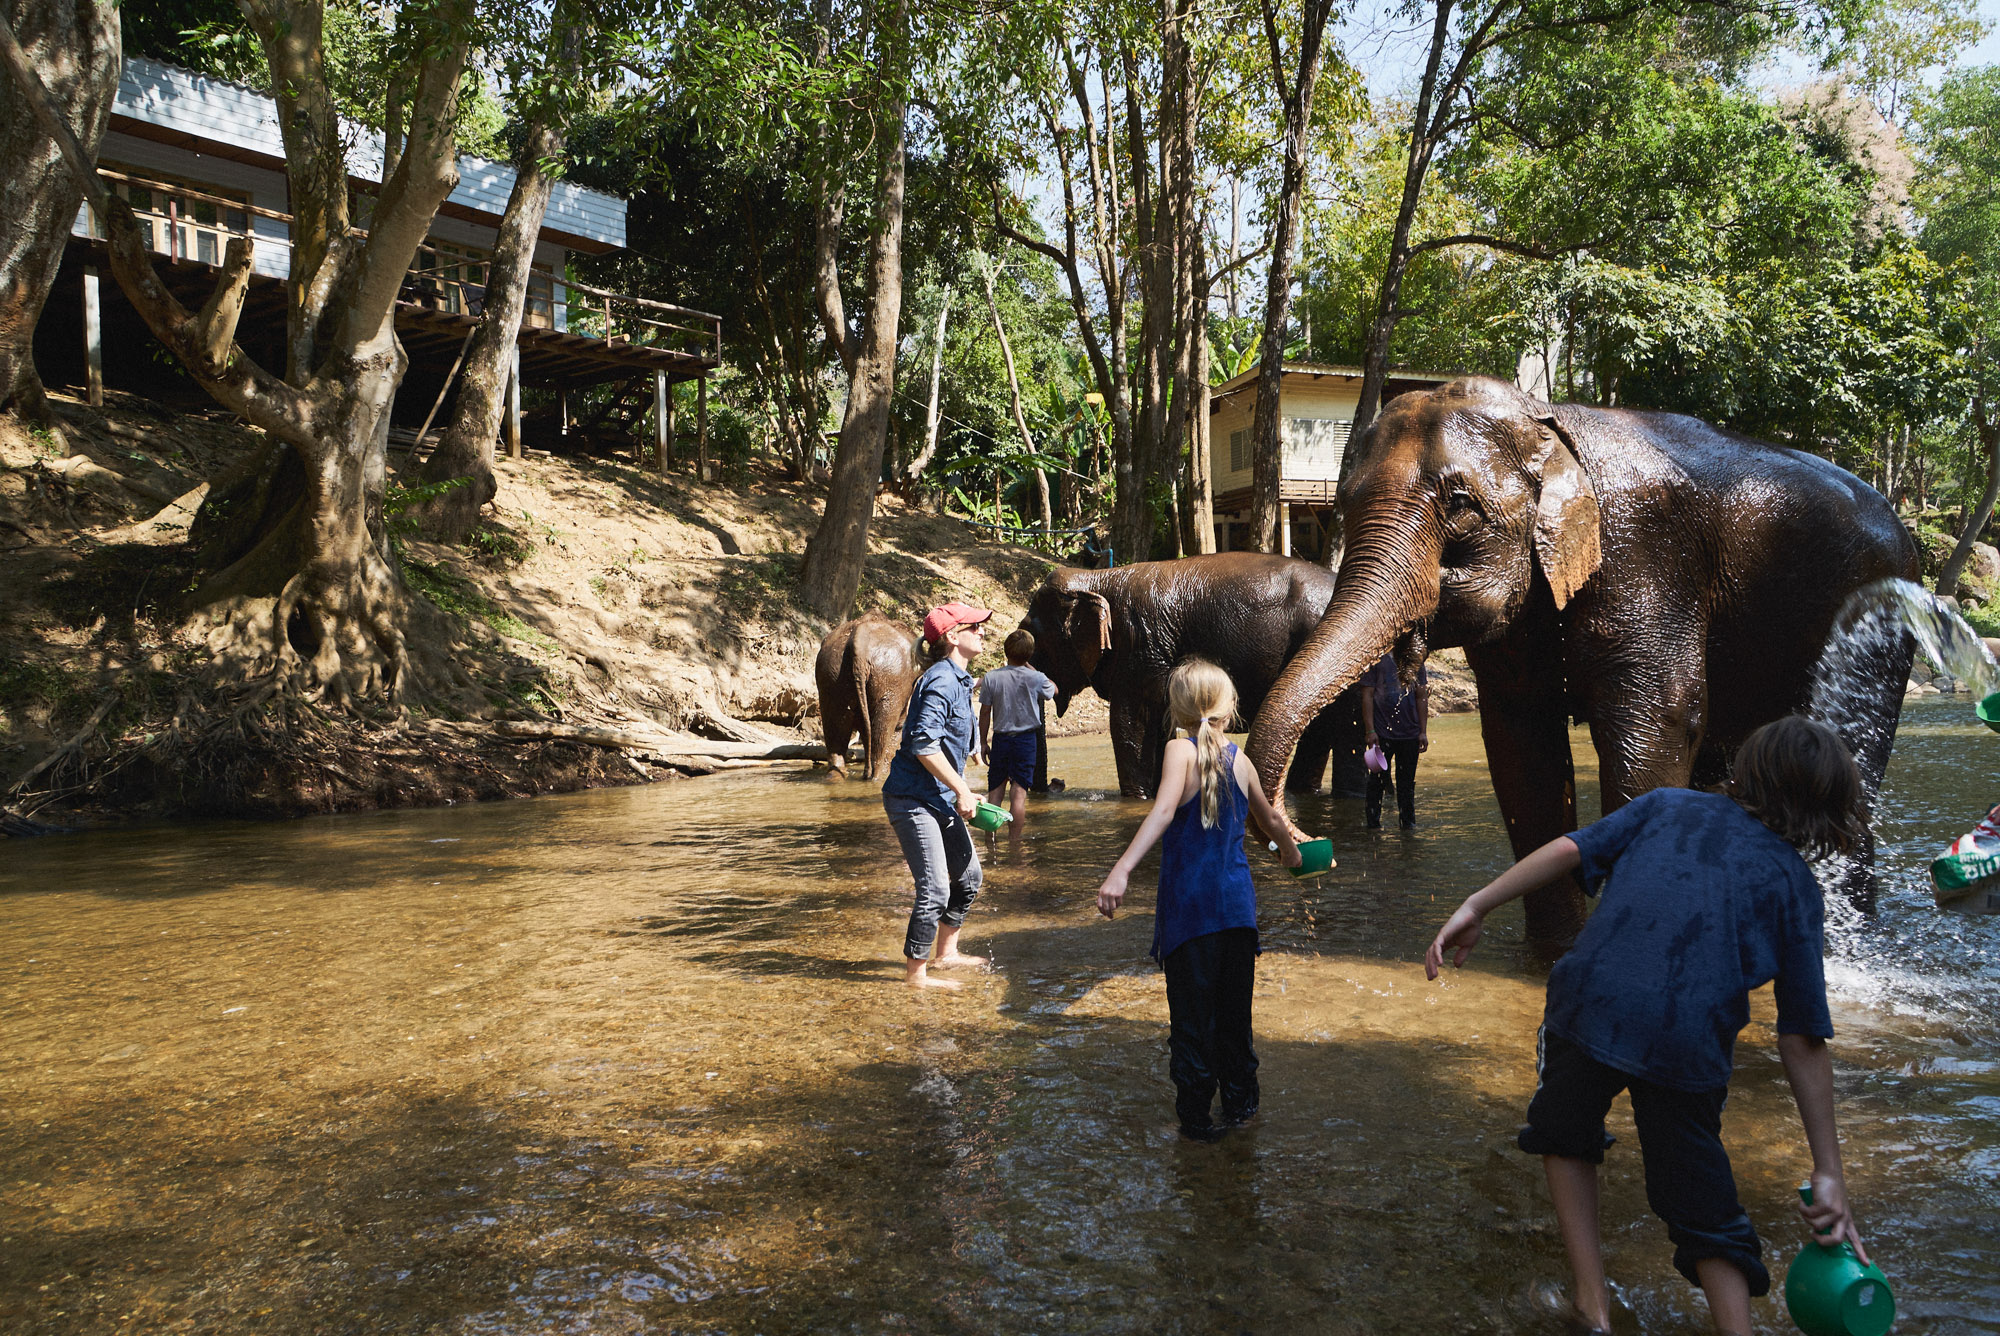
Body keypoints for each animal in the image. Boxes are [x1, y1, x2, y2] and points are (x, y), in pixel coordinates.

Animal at [1024, 552, 1368, 800]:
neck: (1098, 579)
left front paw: (1136, 799)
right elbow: (1154, 727)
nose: (1057, 783)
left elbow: (1130, 725)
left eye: (1034, 643)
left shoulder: (1140, 650)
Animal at [1240, 370, 1912, 944]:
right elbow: (1522, 754)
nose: (1305, 842)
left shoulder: (1647, 564)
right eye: (1344, 506)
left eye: (1460, 507)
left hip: (1877, 634)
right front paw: (1553, 956)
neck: (1549, 422)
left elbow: (1655, 731)